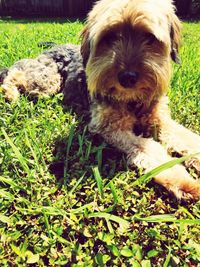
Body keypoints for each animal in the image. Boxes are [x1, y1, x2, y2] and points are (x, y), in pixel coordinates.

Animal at [1, 0, 200, 200]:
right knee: (15, 72)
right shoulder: (110, 127)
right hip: (47, 81)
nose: (127, 77)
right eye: (110, 37)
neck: (132, 101)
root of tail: (54, 47)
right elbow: (151, 147)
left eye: (149, 37)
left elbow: (188, 138)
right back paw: (8, 93)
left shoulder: (161, 120)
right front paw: (183, 180)